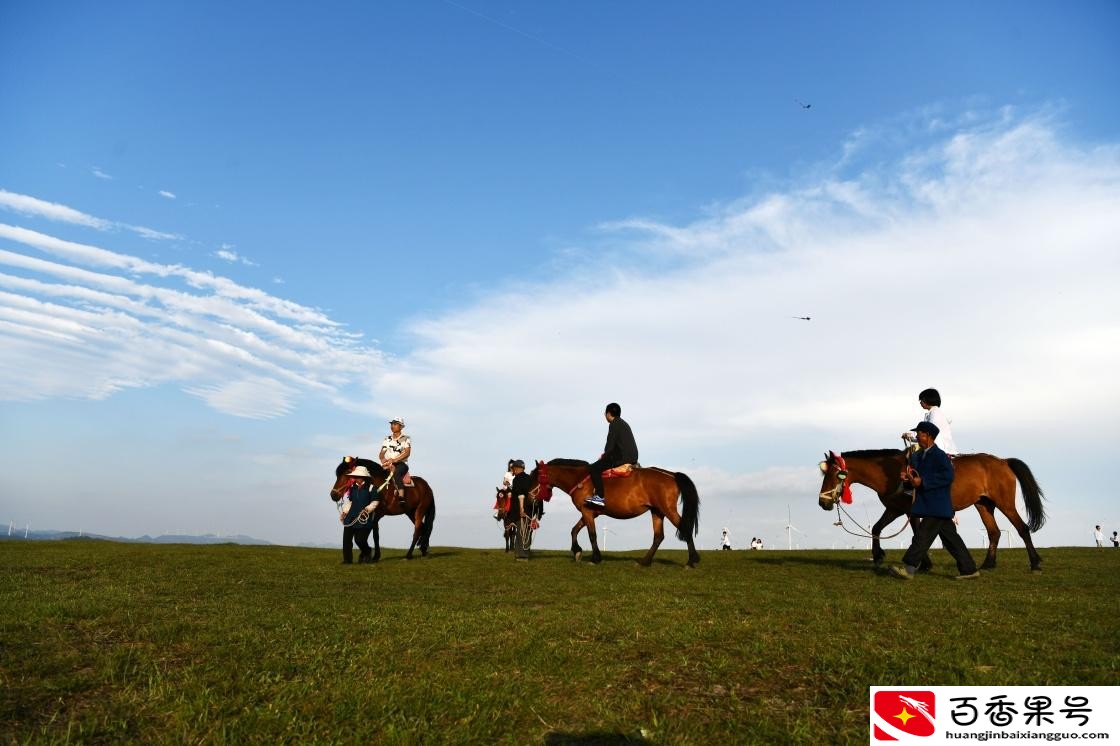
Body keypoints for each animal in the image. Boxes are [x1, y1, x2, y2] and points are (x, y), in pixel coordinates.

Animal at [533, 457, 698, 566]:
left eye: (536, 476)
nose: (531, 495)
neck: (579, 479)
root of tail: (671, 475)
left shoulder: (587, 512)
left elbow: (592, 535)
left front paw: (595, 558)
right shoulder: (589, 513)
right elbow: (574, 530)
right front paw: (577, 551)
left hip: (667, 510)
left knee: (684, 528)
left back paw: (691, 561)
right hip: (657, 512)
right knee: (658, 536)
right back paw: (645, 561)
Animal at [819, 448, 1043, 569]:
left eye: (835, 474)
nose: (823, 502)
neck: (891, 473)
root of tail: (1003, 461)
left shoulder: (910, 511)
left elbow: (917, 534)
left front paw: (923, 563)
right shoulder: (895, 509)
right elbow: (876, 528)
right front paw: (878, 555)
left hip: (1006, 504)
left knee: (1022, 529)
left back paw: (1035, 563)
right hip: (983, 505)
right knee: (994, 532)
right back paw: (988, 564)